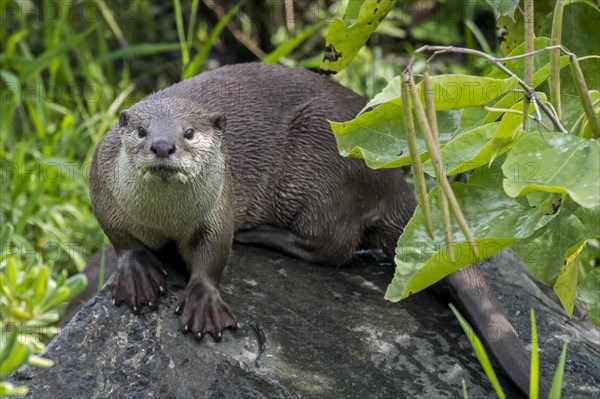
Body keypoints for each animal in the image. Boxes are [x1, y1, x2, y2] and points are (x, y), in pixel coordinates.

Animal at [92, 63, 536, 396]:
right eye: (141, 131)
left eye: (189, 133)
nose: (162, 146)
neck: (164, 218)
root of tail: (391, 179)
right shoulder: (102, 189)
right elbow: (120, 238)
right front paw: (137, 273)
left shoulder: (219, 206)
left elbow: (213, 251)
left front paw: (203, 301)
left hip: (320, 161)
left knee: (334, 245)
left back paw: (259, 235)